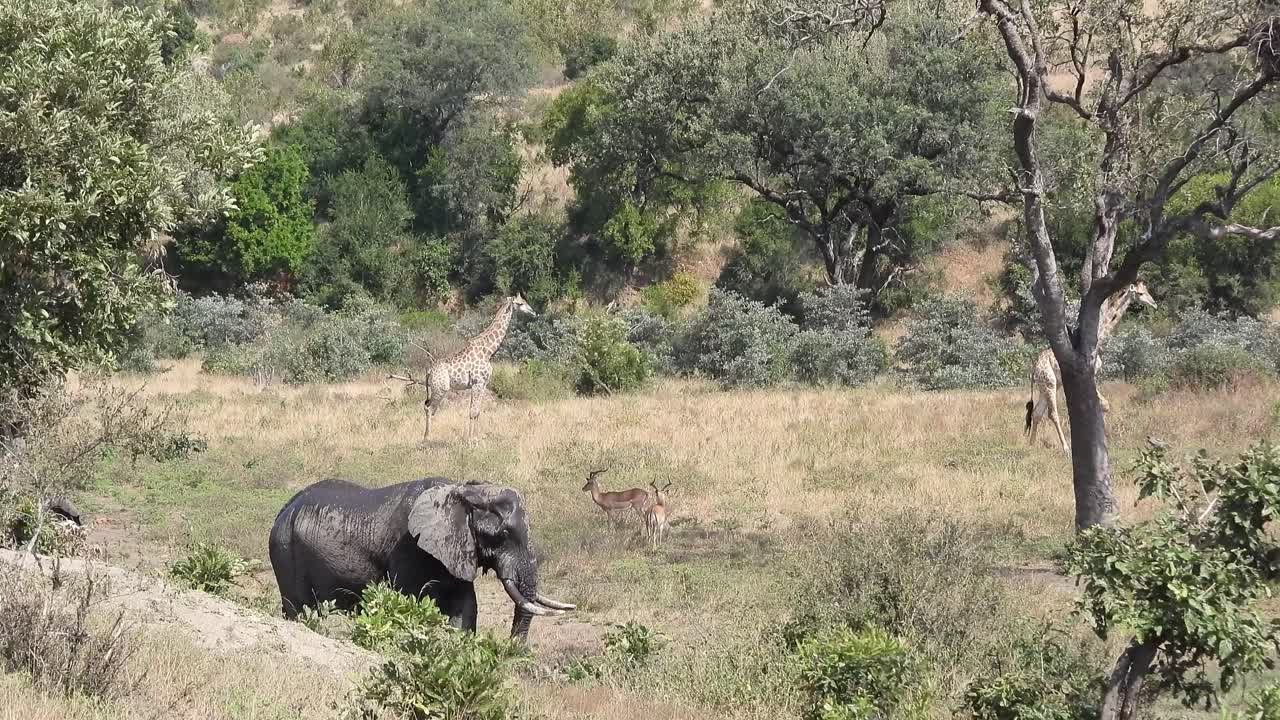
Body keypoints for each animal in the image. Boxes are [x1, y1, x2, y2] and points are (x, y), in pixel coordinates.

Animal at [268, 476, 574, 640]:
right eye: (503, 534)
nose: (513, 648)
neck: (461, 493)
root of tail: (285, 508)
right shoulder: (409, 549)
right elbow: (409, 603)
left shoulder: (456, 550)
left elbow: (465, 607)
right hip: (284, 550)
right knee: (297, 609)